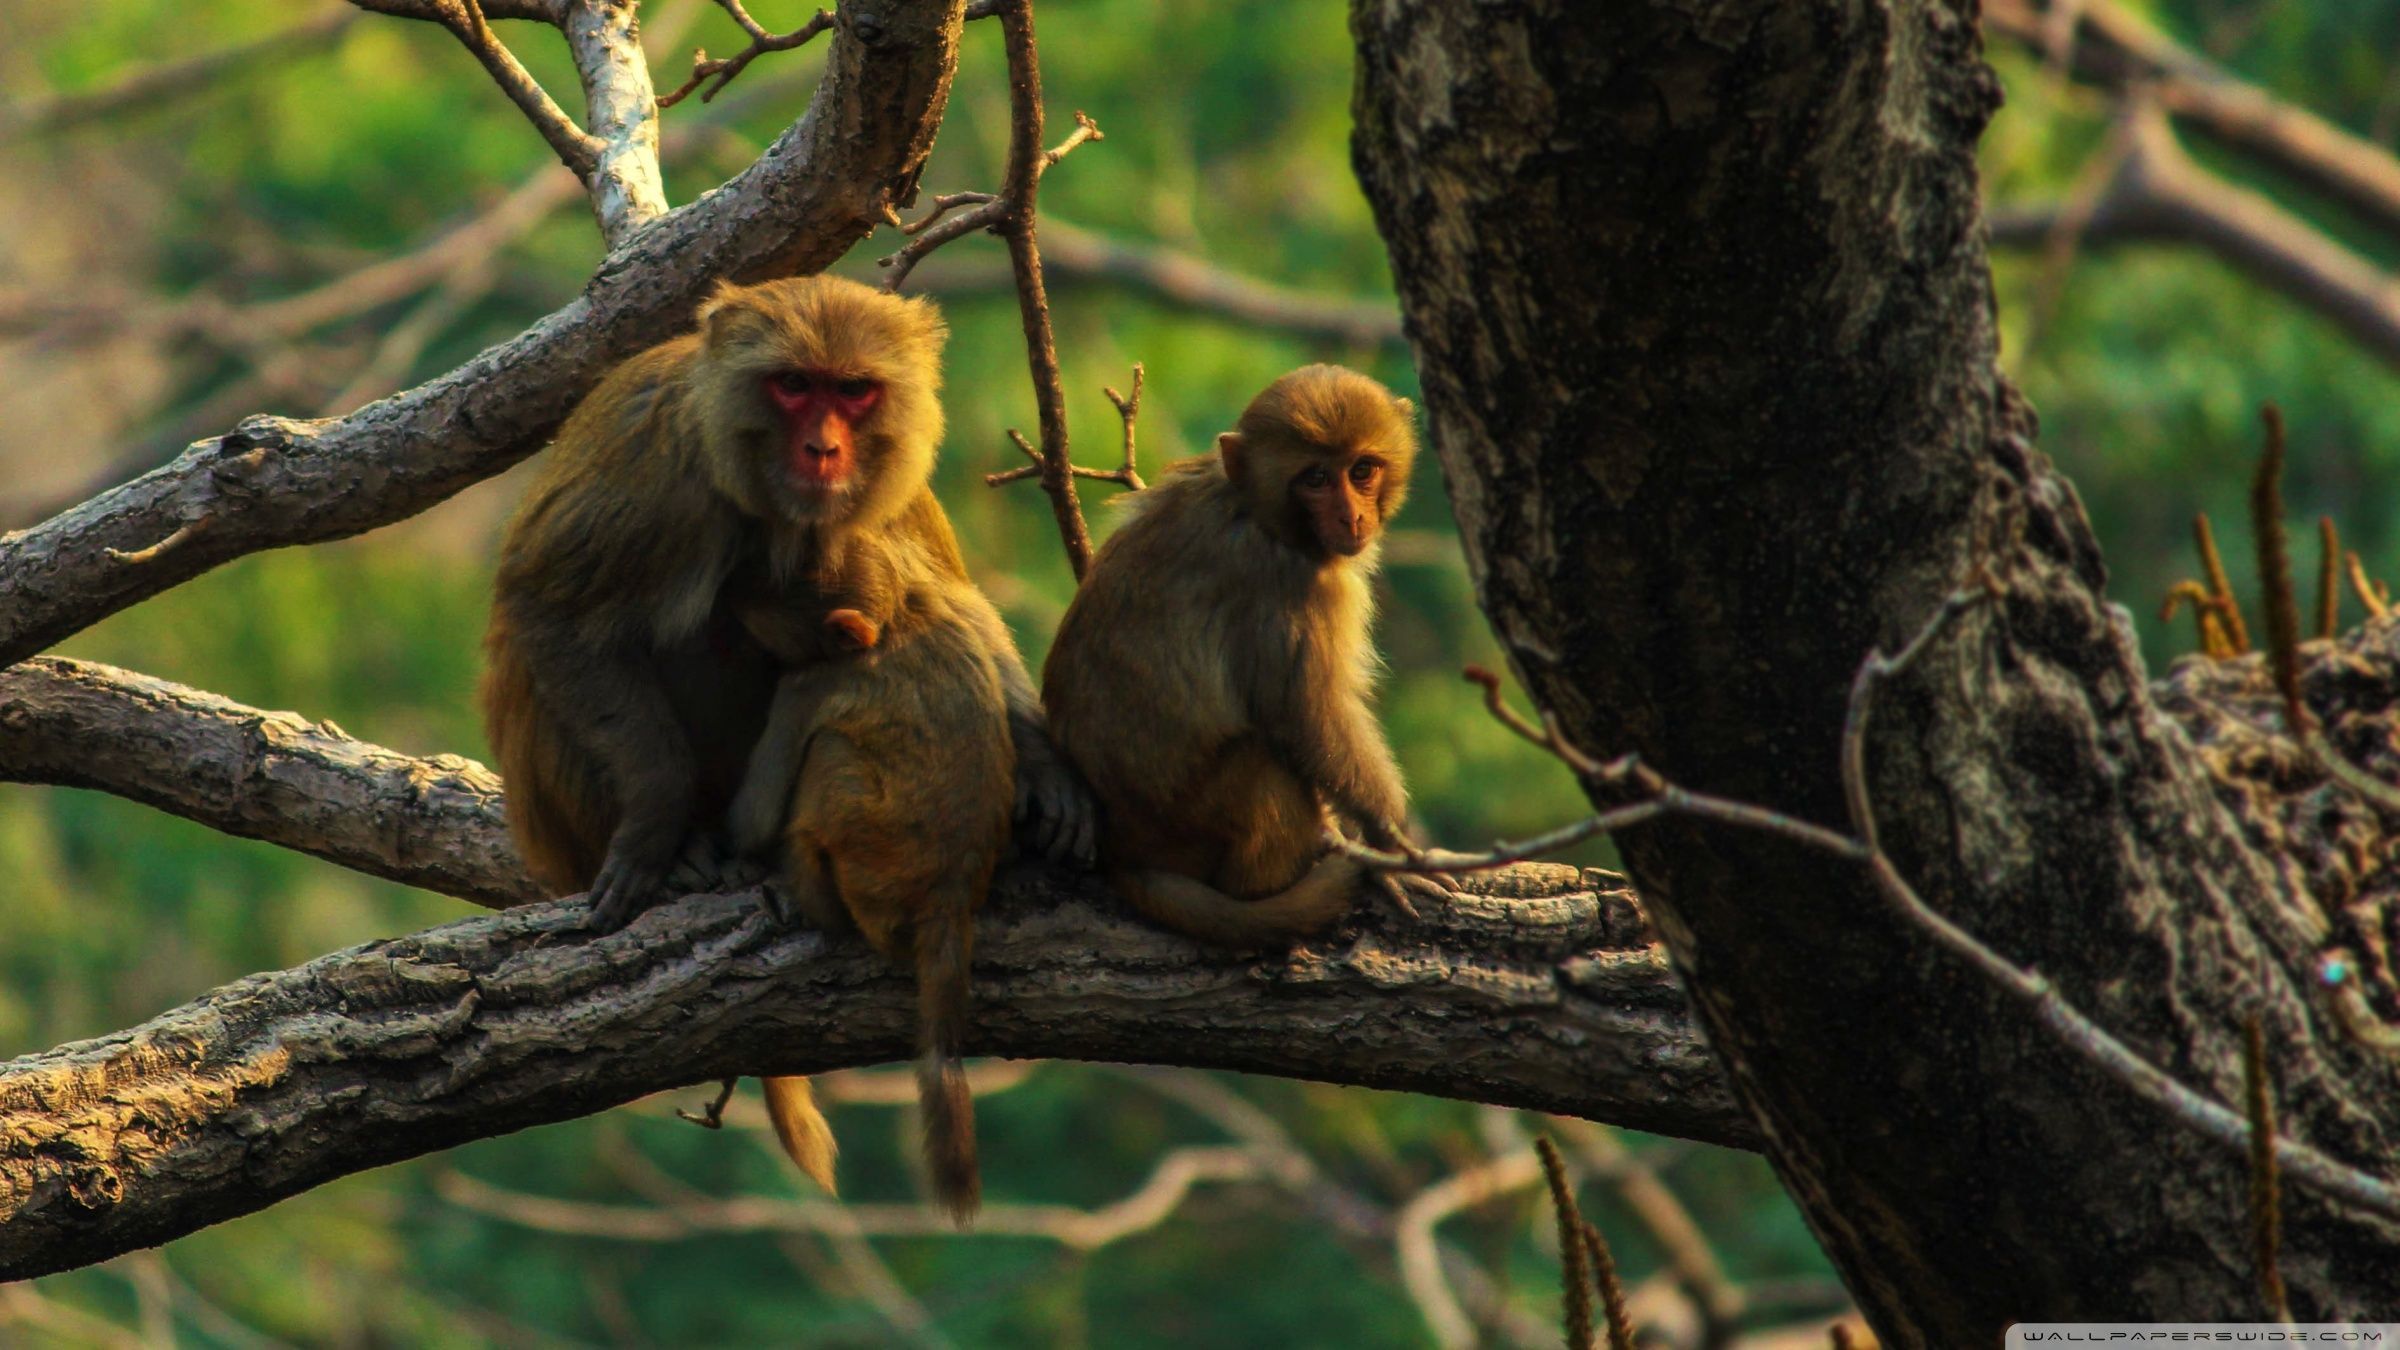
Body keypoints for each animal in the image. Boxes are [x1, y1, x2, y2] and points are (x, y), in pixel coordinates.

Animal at [480, 273, 1093, 936]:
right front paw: (657, 819)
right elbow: (552, 609)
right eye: (793, 385)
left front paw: (1042, 764)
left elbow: (952, 601)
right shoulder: (657, 462)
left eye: (852, 390)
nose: (822, 449)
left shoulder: (893, 484)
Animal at [722, 525, 1014, 1222]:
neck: (899, 620)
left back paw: (810, 898)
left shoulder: (811, 684)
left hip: (867, 859)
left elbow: (758, 813)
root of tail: (948, 899)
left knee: (829, 756)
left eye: (764, 631)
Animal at [1040, 364, 1437, 948]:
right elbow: (1309, 717)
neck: (1253, 507)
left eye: (1362, 469)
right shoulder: (1295, 583)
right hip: (1195, 822)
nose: (1351, 518)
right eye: (1316, 479)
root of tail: (1124, 855)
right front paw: (1392, 851)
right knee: (1265, 761)